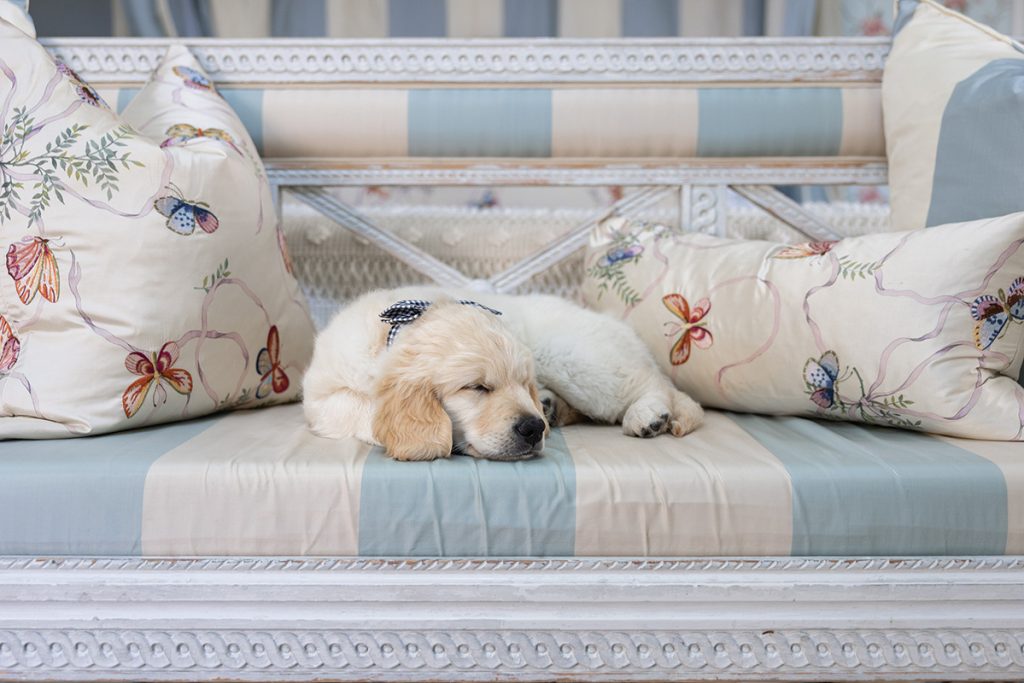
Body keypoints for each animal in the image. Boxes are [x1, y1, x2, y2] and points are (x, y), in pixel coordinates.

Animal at [303, 287, 703, 461]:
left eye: (521, 383)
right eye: (477, 387)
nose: (534, 428)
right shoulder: (321, 398)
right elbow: (359, 404)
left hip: (575, 357)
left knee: (653, 384)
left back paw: (649, 415)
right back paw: (552, 407)